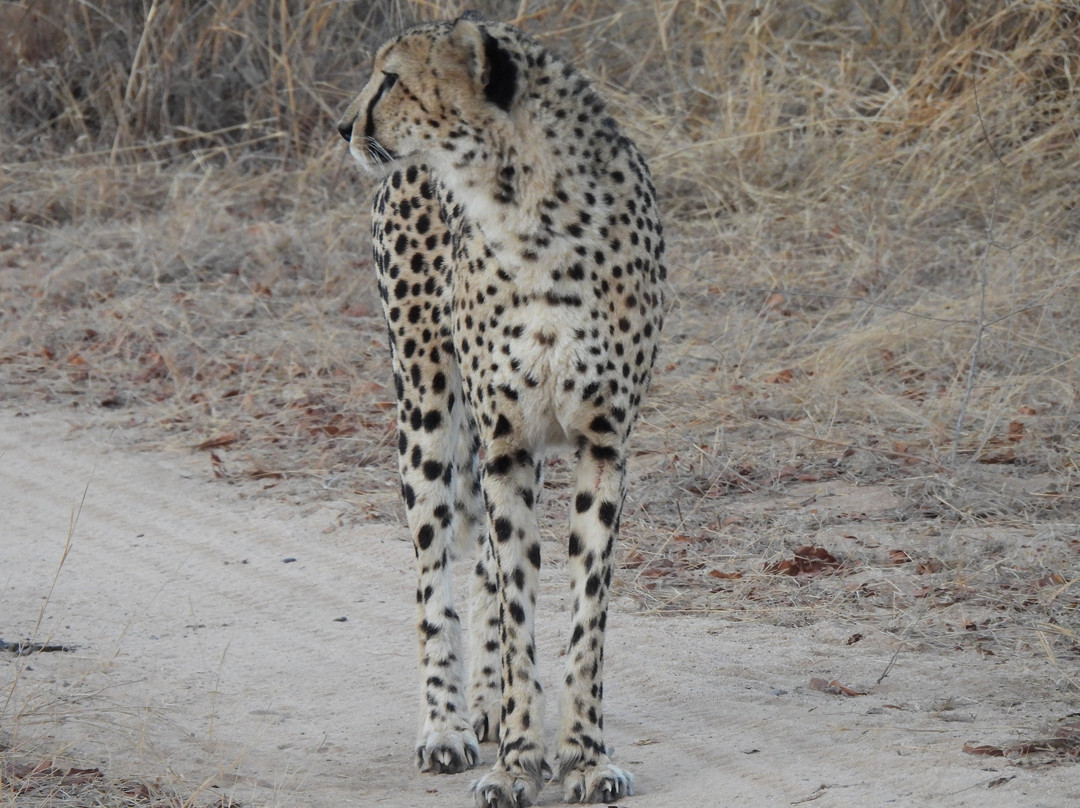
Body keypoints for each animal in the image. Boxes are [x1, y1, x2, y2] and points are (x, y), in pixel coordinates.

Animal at [336, 14, 660, 808]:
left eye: (392, 78)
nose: (343, 126)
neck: (533, 217)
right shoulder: (507, 440)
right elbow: (519, 612)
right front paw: (517, 762)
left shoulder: (598, 445)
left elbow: (584, 614)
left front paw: (582, 757)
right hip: (426, 407)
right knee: (434, 571)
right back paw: (450, 725)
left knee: (482, 559)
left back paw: (485, 705)